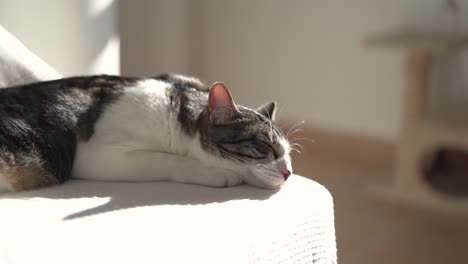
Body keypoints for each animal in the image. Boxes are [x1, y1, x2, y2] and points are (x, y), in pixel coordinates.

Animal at [0, 73, 290, 192]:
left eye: (288, 153)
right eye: (265, 147)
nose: (289, 172)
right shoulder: (98, 156)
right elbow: (166, 159)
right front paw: (216, 173)